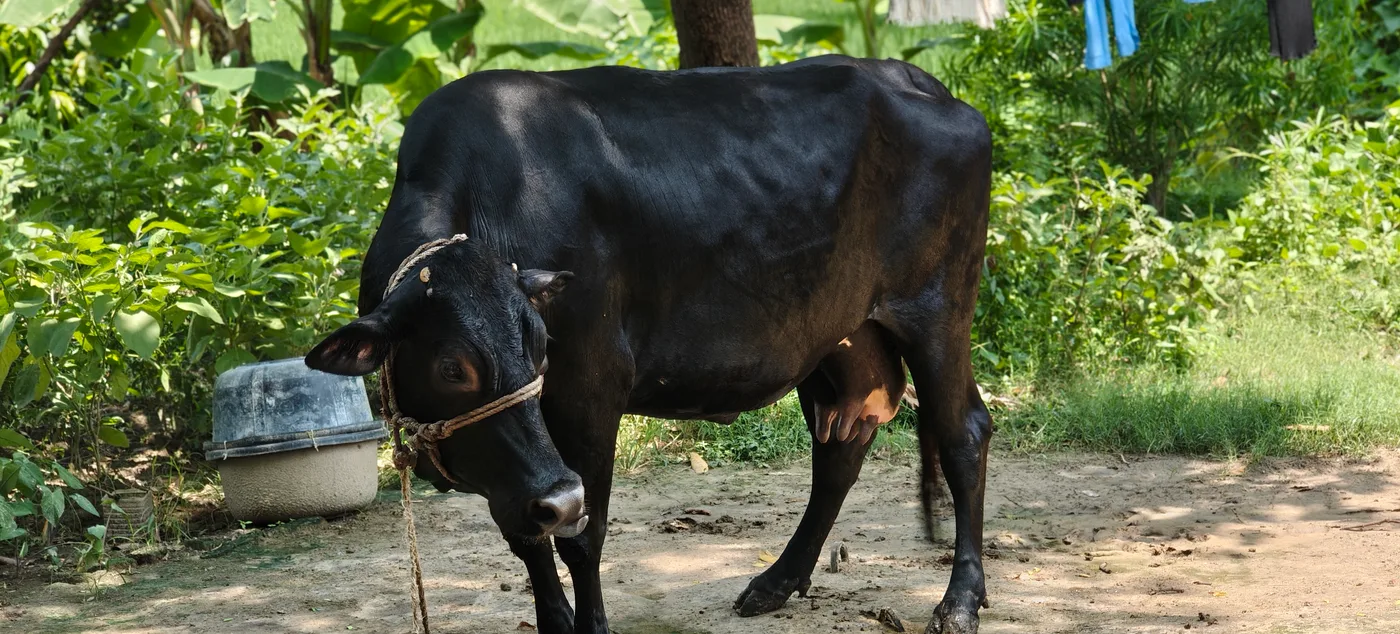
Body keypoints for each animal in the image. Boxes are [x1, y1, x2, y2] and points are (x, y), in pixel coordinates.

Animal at [305, 54, 993, 634]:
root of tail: (919, 80)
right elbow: (527, 538)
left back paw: (960, 601)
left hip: (939, 310)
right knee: (840, 447)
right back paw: (777, 581)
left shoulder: (590, 389)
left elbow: (581, 535)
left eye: (541, 345)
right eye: (452, 367)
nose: (559, 495)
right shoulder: (519, 471)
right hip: (839, 335)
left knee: (964, 433)